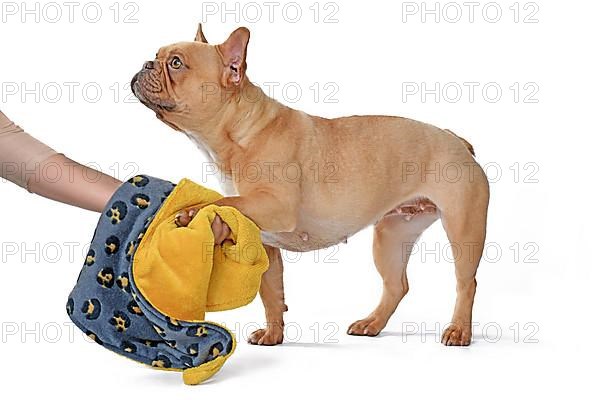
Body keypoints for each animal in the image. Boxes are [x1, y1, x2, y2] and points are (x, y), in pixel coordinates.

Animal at [131, 23, 488, 346]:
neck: (239, 132)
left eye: (177, 63)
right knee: (396, 285)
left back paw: (459, 331)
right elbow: (271, 292)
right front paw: (273, 334)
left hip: (463, 228)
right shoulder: (266, 240)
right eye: (157, 56)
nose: (146, 63)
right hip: (392, 234)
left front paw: (192, 211)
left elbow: (224, 202)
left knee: (466, 282)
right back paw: (372, 323)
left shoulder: (275, 205)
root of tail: (457, 140)